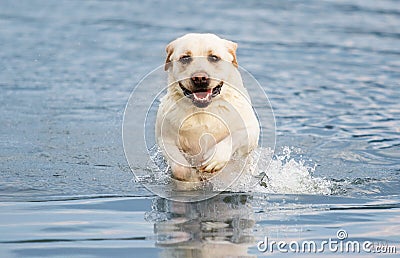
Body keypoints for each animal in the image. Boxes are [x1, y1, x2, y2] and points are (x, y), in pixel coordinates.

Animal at [155, 33, 260, 184]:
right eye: (185, 58)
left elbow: (234, 136)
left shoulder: (251, 131)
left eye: (214, 57)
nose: (199, 78)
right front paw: (191, 177)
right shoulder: (164, 137)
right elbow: (180, 168)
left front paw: (214, 159)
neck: (203, 112)